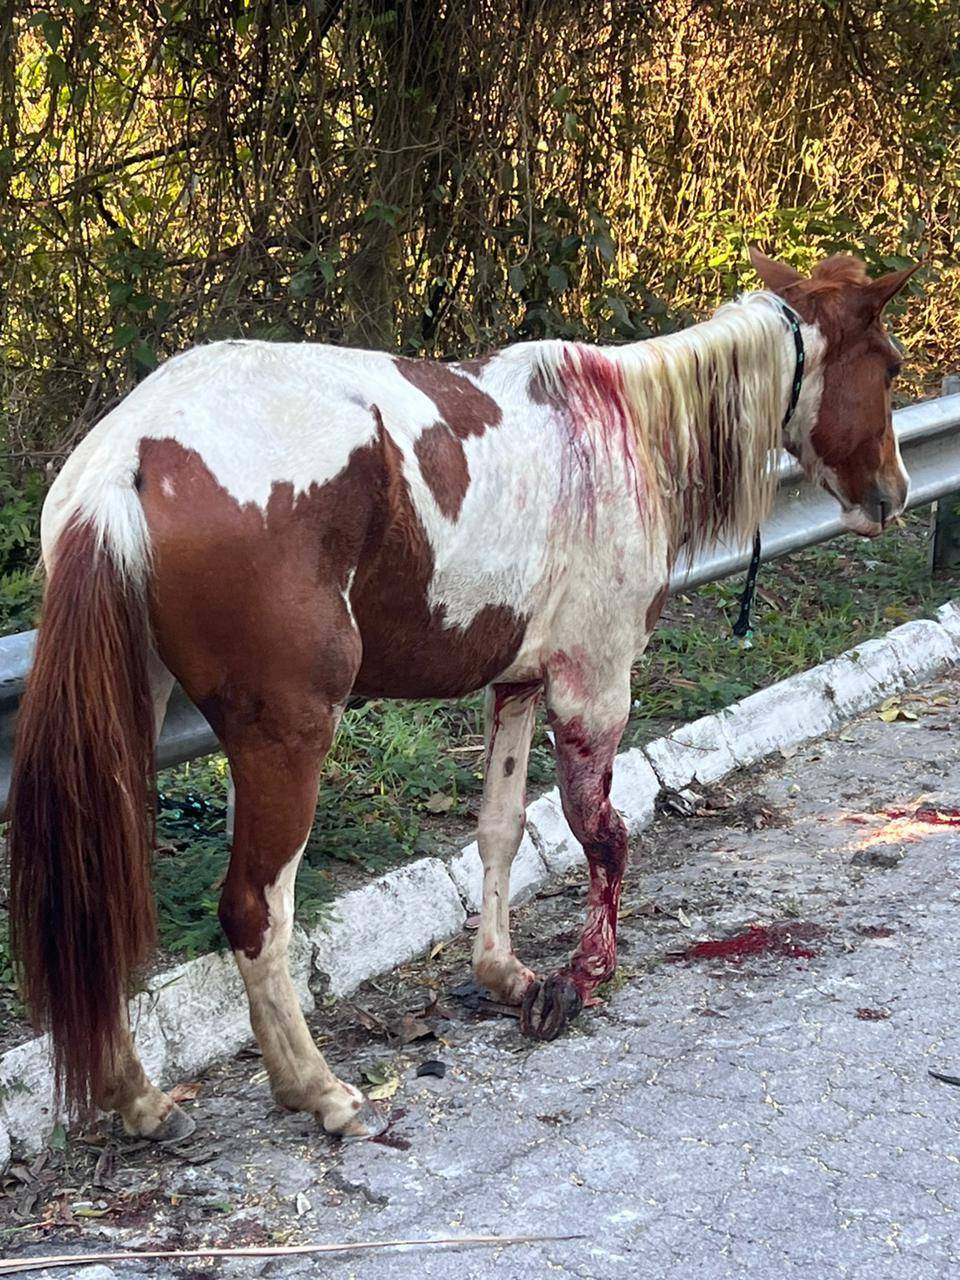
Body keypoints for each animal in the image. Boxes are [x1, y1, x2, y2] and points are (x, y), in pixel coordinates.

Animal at [5, 247, 916, 1141]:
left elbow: (502, 830)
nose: (894, 494)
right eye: (890, 366)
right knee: (255, 911)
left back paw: (138, 1098)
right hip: (289, 736)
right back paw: (318, 1090)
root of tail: (129, 454)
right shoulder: (595, 685)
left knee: (101, 903)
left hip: (130, 730)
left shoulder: (516, 682)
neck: (623, 429)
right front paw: (584, 974)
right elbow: (600, 834)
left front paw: (506, 974)